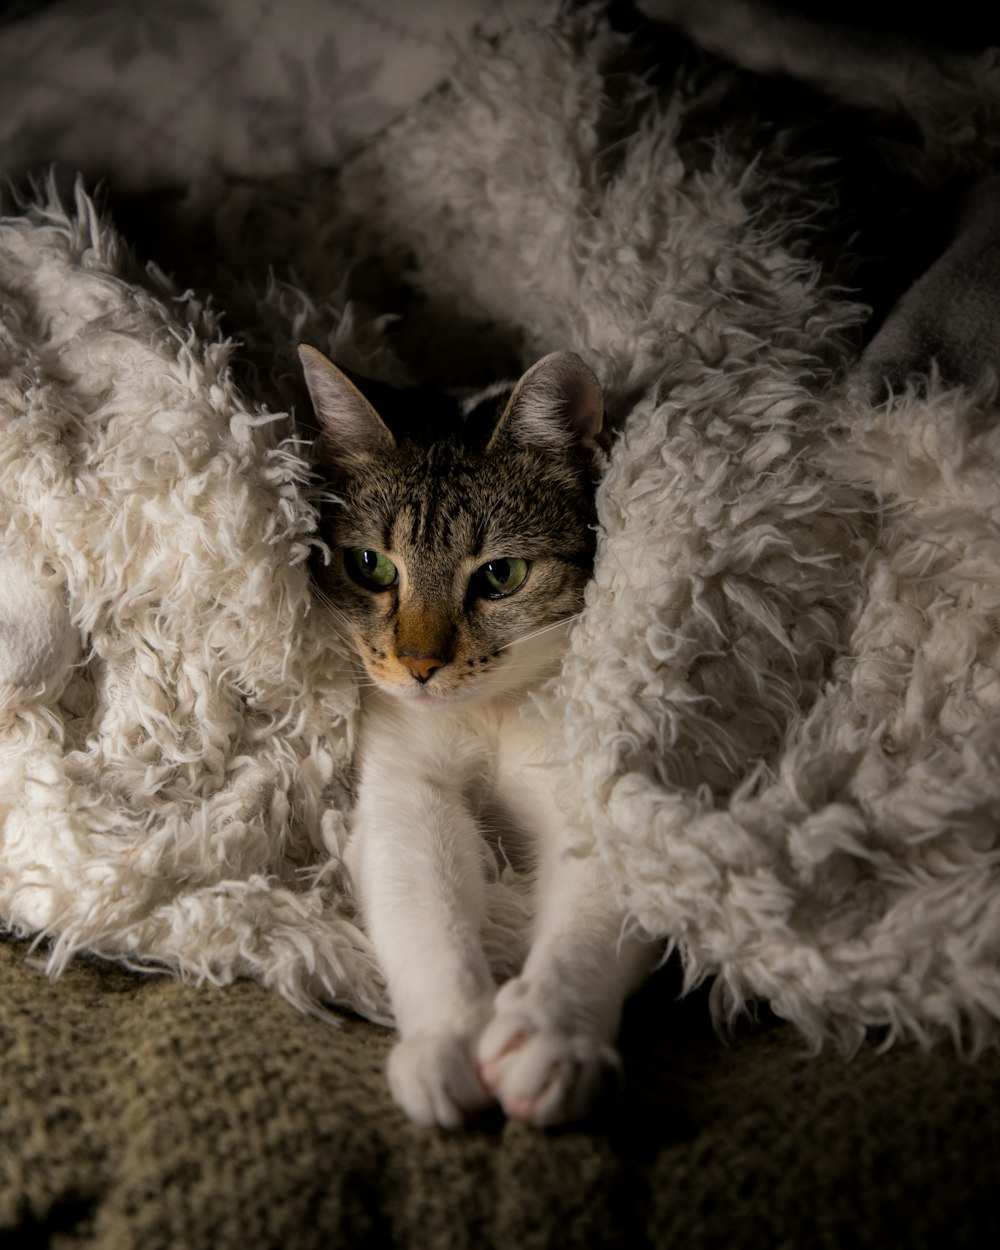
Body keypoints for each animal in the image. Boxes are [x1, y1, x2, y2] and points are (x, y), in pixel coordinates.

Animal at [301, 347, 650, 1130]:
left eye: (500, 574)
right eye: (370, 565)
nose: (419, 665)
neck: (485, 710)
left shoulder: (588, 789)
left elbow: (591, 916)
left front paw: (553, 1037)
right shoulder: (405, 784)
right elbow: (423, 903)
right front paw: (448, 1040)